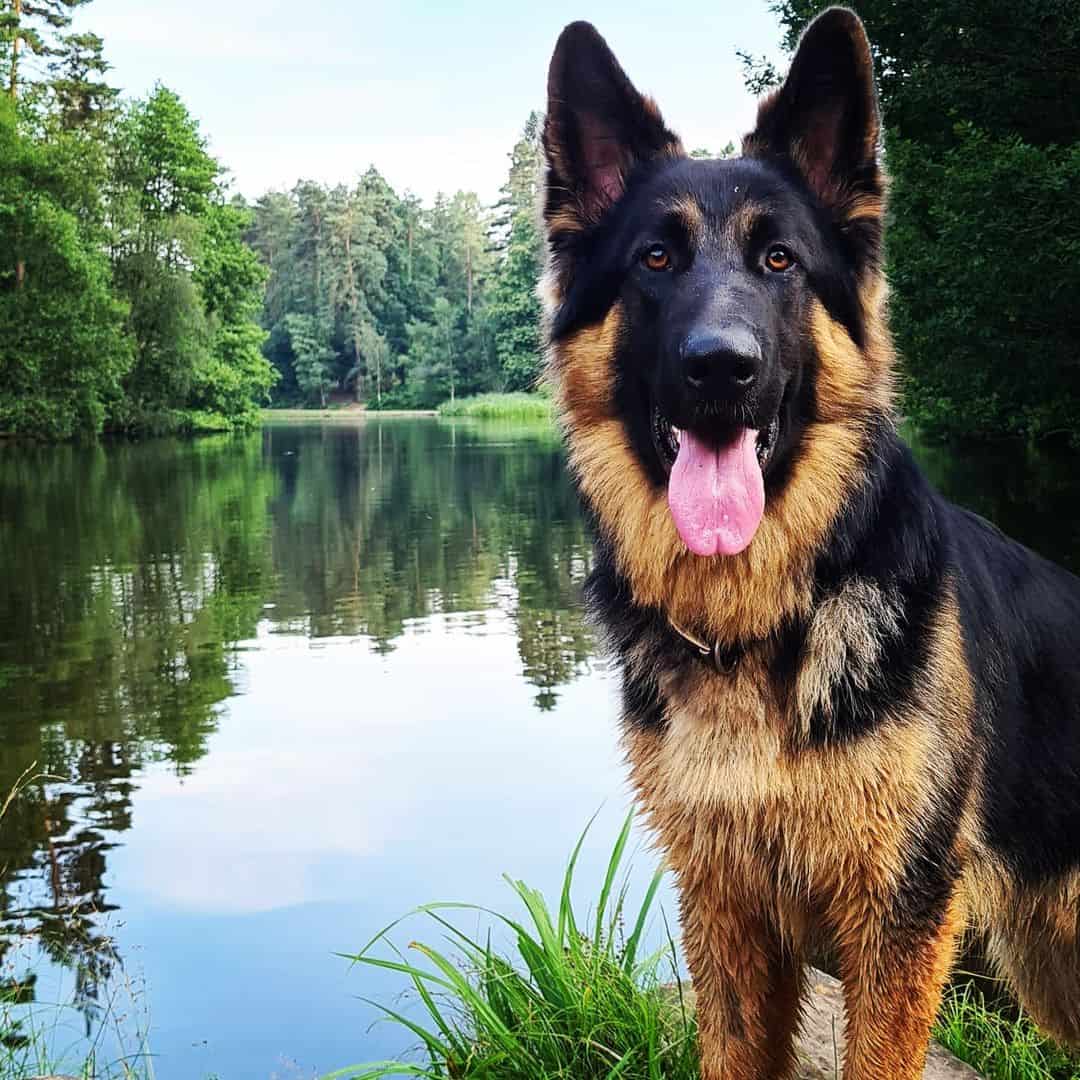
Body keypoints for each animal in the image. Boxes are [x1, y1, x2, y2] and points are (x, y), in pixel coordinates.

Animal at [544, 10, 1080, 1080]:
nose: (721, 368)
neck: (764, 626)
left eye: (780, 261)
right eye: (654, 261)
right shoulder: (727, 914)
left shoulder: (896, 925)